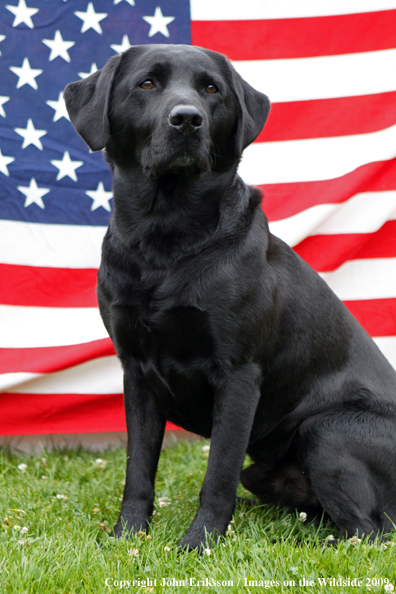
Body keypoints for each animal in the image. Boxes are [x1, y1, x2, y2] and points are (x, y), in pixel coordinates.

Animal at [63, 44, 396, 548]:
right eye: (146, 84)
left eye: (211, 88)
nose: (187, 119)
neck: (167, 238)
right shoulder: (135, 372)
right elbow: (137, 469)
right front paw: (128, 537)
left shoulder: (239, 374)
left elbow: (217, 473)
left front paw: (198, 544)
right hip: (261, 471)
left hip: (328, 429)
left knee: (369, 532)